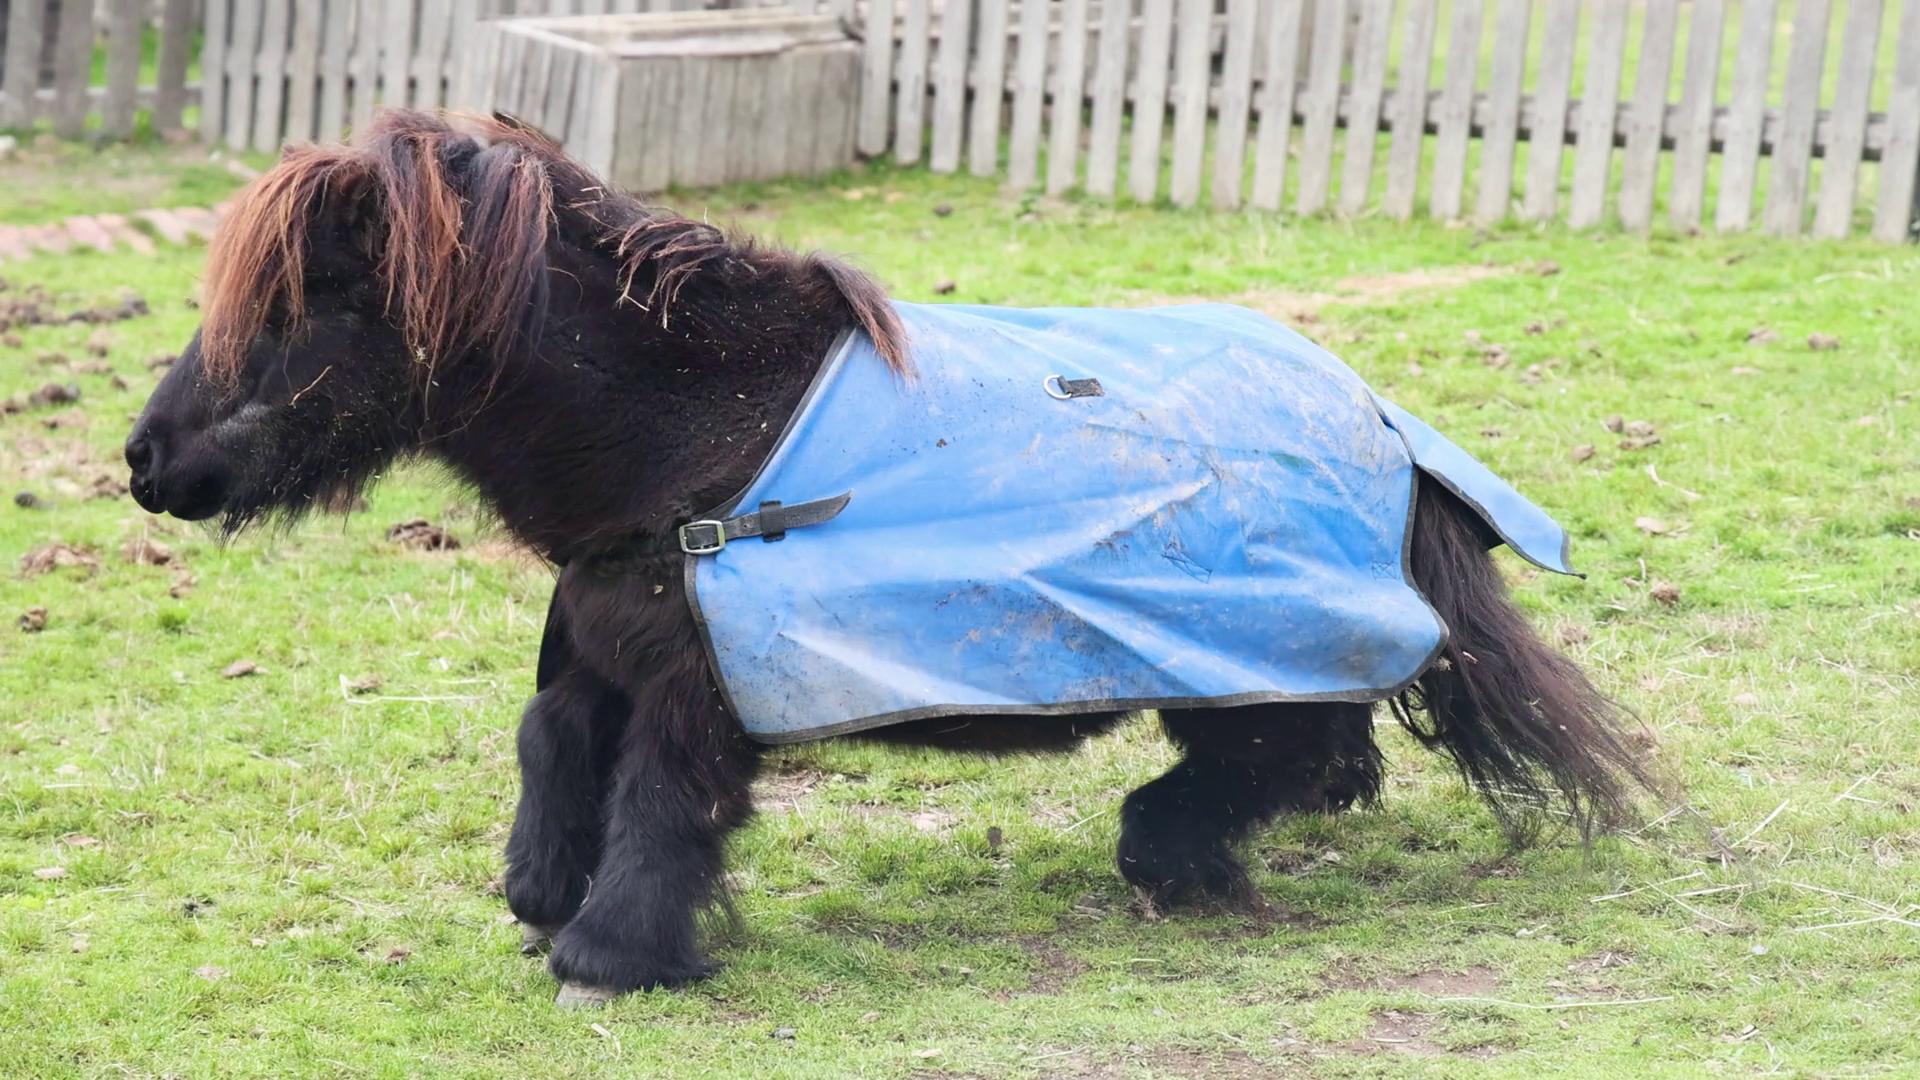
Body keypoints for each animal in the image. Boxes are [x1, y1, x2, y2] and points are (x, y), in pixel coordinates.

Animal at [126, 110, 1651, 1007]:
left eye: (304, 301)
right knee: (1316, 756)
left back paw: (1168, 859)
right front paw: (542, 897)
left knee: (1286, 756)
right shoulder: (606, 655)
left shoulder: (694, 696)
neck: (689, 440)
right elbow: (549, 746)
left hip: (1258, 652)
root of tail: (1385, 422)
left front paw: (612, 957)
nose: (148, 463)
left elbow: (664, 808)